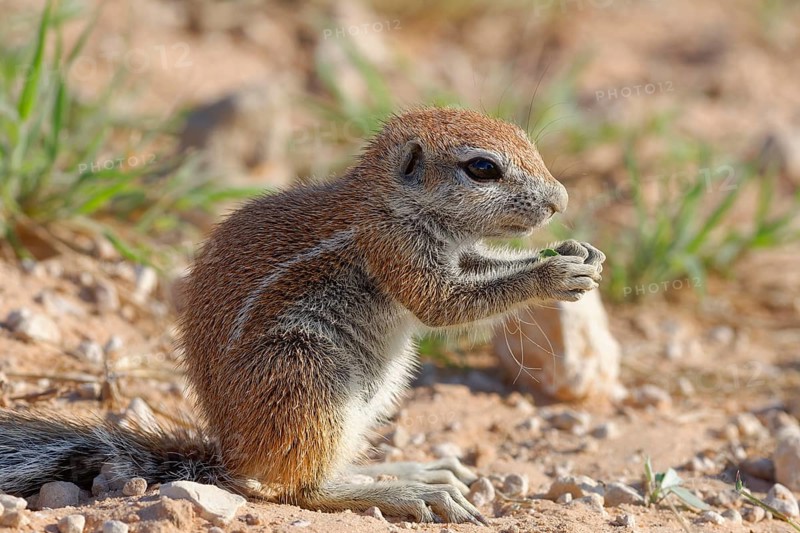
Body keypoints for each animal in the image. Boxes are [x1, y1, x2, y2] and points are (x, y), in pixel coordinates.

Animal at [0, 107, 605, 524]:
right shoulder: (396, 249)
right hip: (308, 372)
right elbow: (442, 304)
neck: (387, 201)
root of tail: (230, 456)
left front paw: (576, 253)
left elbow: (483, 267)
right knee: (298, 488)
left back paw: (411, 470)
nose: (560, 200)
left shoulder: (459, 252)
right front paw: (553, 276)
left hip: (372, 392)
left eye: (527, 141)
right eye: (482, 168)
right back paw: (408, 492)